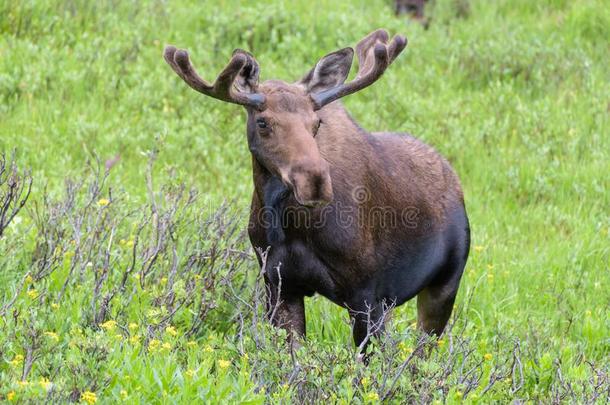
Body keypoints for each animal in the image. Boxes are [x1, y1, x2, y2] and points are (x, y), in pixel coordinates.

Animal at [163, 29, 470, 350]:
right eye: (263, 122)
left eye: (317, 122)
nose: (314, 182)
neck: (292, 226)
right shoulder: (280, 286)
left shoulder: (366, 293)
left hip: (445, 282)